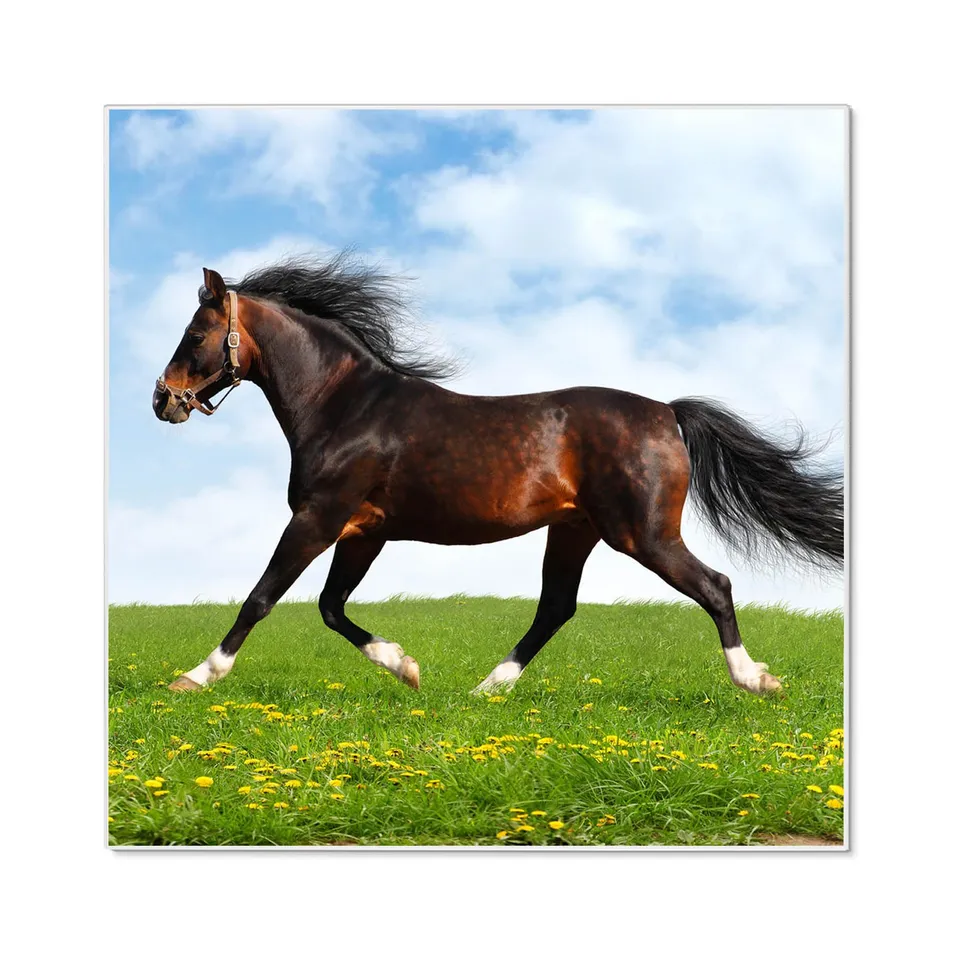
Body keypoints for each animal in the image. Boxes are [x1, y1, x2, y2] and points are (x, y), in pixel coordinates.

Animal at [153, 253, 843, 697]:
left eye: (196, 334)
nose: (162, 400)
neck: (346, 405)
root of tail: (667, 412)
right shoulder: (363, 532)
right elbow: (329, 607)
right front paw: (407, 667)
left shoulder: (318, 518)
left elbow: (262, 596)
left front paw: (194, 677)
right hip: (575, 531)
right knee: (556, 608)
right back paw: (487, 688)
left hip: (642, 534)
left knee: (714, 586)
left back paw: (756, 680)